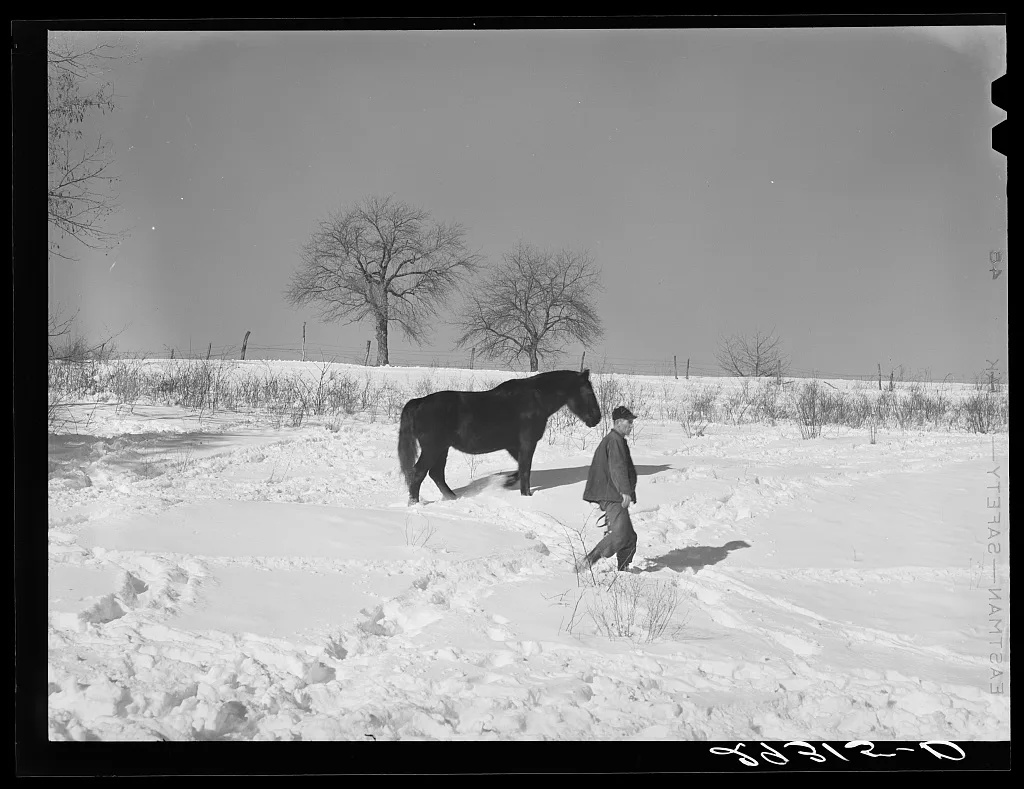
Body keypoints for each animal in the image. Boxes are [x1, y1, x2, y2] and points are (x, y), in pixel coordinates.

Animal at [397, 369, 602, 504]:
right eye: (588, 391)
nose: (597, 418)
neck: (535, 400)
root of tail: (419, 402)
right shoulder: (527, 442)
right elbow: (525, 470)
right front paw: (525, 495)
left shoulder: (513, 445)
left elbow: (520, 468)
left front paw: (507, 482)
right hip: (433, 448)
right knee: (419, 472)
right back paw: (414, 503)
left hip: (442, 449)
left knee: (436, 474)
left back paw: (453, 498)